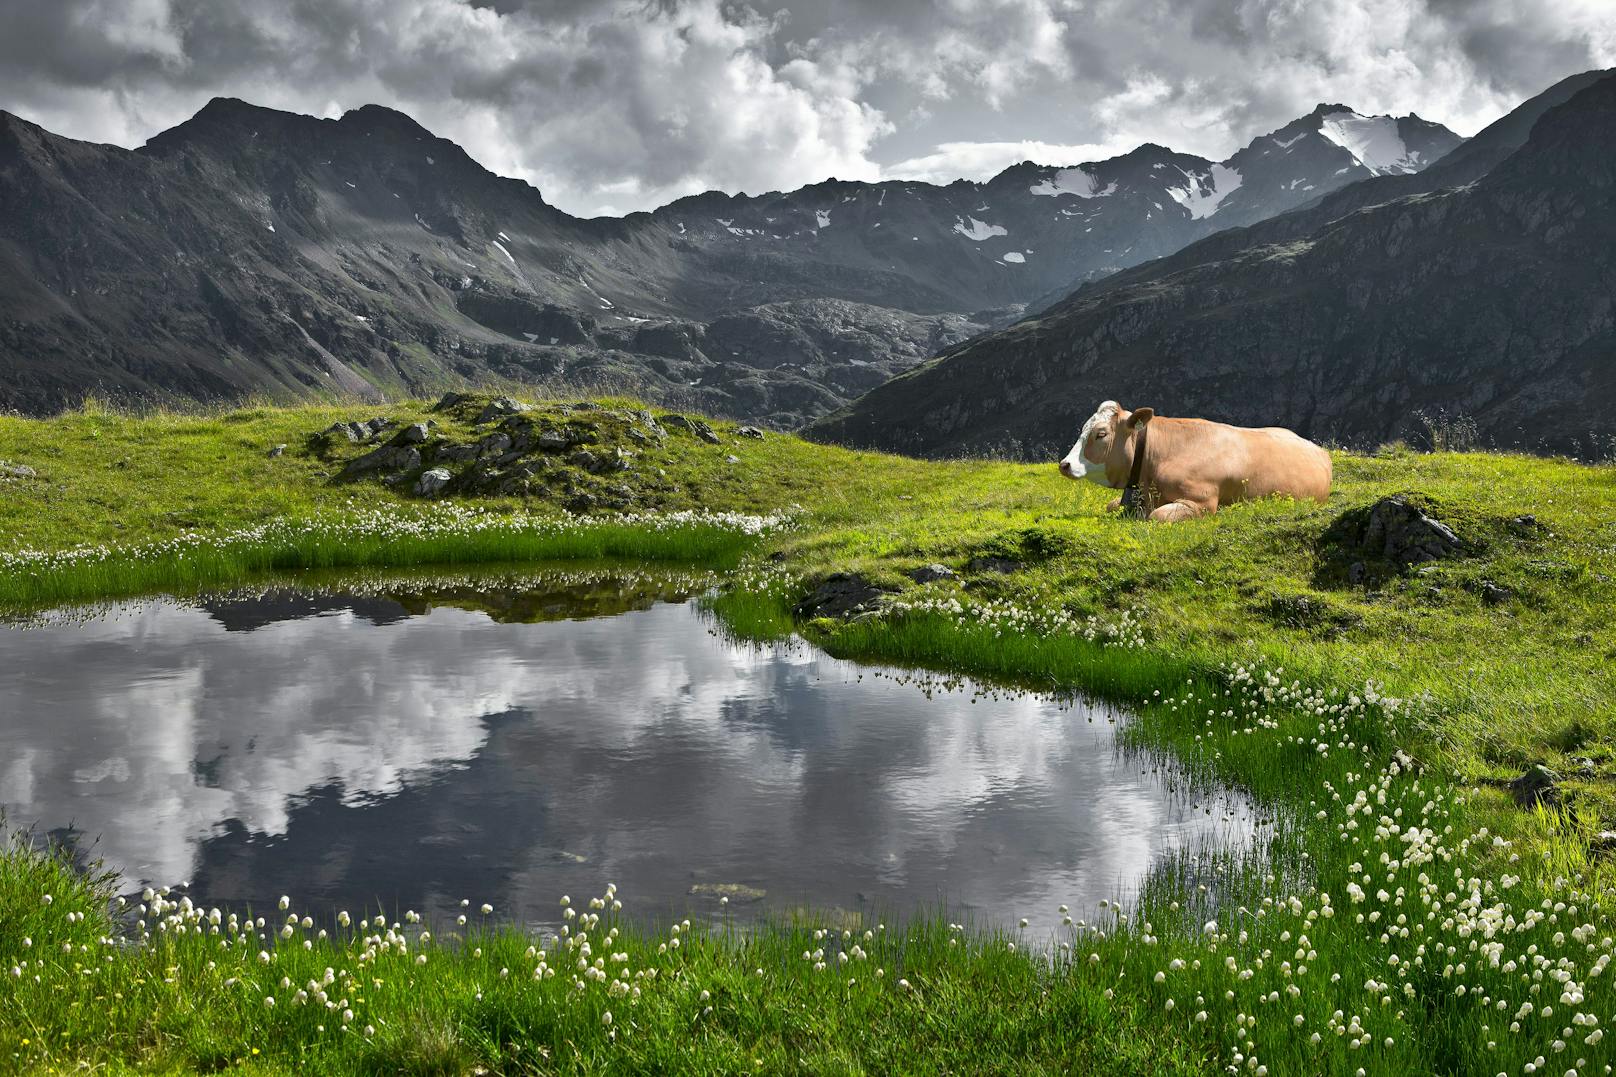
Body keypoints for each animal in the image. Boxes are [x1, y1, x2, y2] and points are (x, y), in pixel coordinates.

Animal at [1053, 401, 1331, 520]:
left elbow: (1158, 517)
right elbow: (1111, 505)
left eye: (1101, 434)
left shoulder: (1201, 502)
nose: (1065, 464)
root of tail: (1320, 451)